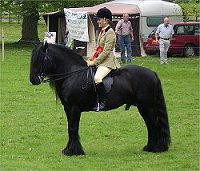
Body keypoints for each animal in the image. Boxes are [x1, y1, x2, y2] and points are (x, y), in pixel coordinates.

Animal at [29, 43, 170, 156]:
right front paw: (69, 150)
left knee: (153, 124)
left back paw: (157, 148)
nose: (33, 80)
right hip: (143, 107)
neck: (73, 74)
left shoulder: (75, 108)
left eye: (41, 59)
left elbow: (73, 128)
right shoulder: (68, 108)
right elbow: (70, 128)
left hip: (148, 106)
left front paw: (73, 151)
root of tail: (152, 73)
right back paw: (150, 147)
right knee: (150, 125)